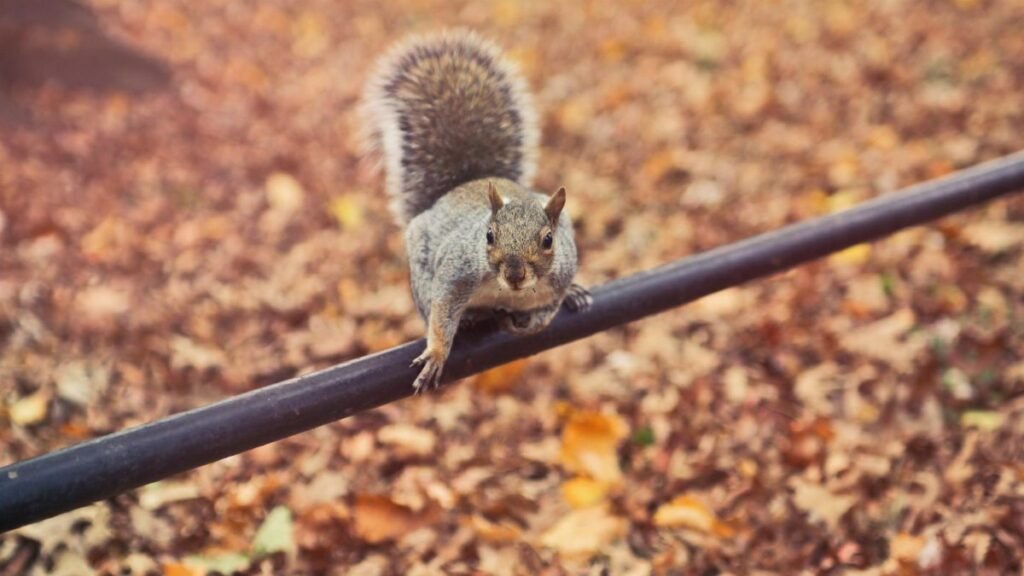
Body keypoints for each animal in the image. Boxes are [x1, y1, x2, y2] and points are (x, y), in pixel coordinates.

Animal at [360, 30, 591, 392]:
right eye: (489, 235)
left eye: (548, 240)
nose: (514, 274)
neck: (508, 292)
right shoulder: (456, 272)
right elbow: (441, 313)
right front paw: (437, 353)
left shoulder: (560, 274)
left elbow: (546, 314)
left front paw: (534, 320)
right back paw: (471, 318)